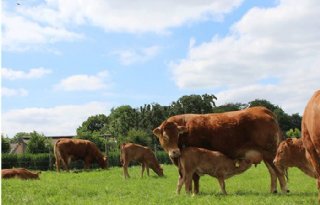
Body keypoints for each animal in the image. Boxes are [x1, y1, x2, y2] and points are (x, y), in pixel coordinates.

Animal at [152, 106, 288, 193]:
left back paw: (283, 190)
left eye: (177, 135)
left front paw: (194, 192)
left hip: (270, 153)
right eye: (165, 136)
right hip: (265, 155)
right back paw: (273, 191)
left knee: (279, 172)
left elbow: (194, 178)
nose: (175, 152)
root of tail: (262, 109)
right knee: (273, 172)